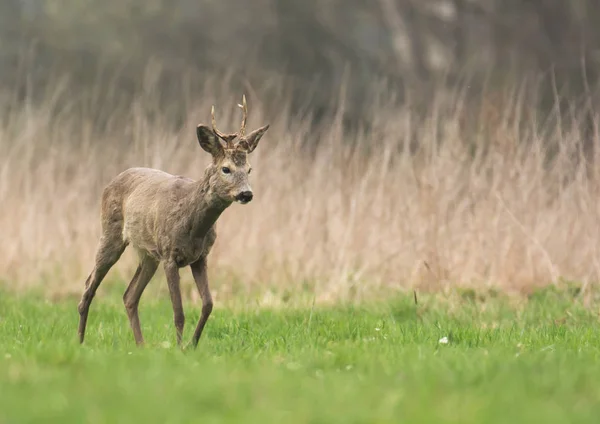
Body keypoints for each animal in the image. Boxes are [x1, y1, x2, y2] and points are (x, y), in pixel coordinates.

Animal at [77, 95, 270, 348]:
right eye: (226, 169)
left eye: (249, 169)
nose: (246, 194)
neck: (193, 225)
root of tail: (111, 181)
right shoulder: (170, 255)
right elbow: (178, 311)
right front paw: (179, 349)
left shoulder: (200, 257)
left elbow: (208, 304)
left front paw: (192, 345)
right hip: (110, 233)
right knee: (89, 285)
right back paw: (80, 341)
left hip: (148, 254)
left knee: (129, 295)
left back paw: (141, 345)